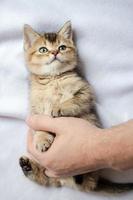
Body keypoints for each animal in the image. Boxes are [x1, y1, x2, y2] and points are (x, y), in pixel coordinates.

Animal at [19, 21, 133, 192]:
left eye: (62, 47)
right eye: (43, 49)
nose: (54, 52)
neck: (53, 79)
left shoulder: (85, 93)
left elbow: (73, 101)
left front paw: (58, 107)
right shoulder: (35, 107)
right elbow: (39, 126)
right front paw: (41, 139)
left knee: (82, 181)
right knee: (48, 179)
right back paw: (29, 167)